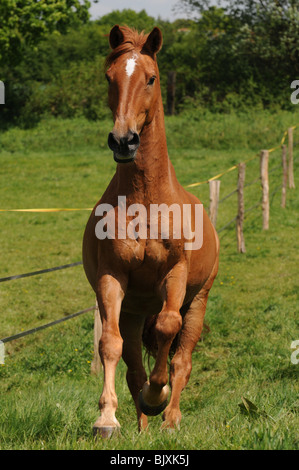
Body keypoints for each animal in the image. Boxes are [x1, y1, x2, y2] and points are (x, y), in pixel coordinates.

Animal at [83, 25, 219, 436]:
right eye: (109, 78)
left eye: (151, 78)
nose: (123, 140)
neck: (145, 201)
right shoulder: (112, 279)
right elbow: (109, 346)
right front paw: (106, 418)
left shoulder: (175, 276)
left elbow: (167, 329)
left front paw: (158, 397)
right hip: (132, 312)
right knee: (132, 367)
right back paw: (143, 422)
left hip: (198, 301)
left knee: (181, 357)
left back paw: (169, 419)